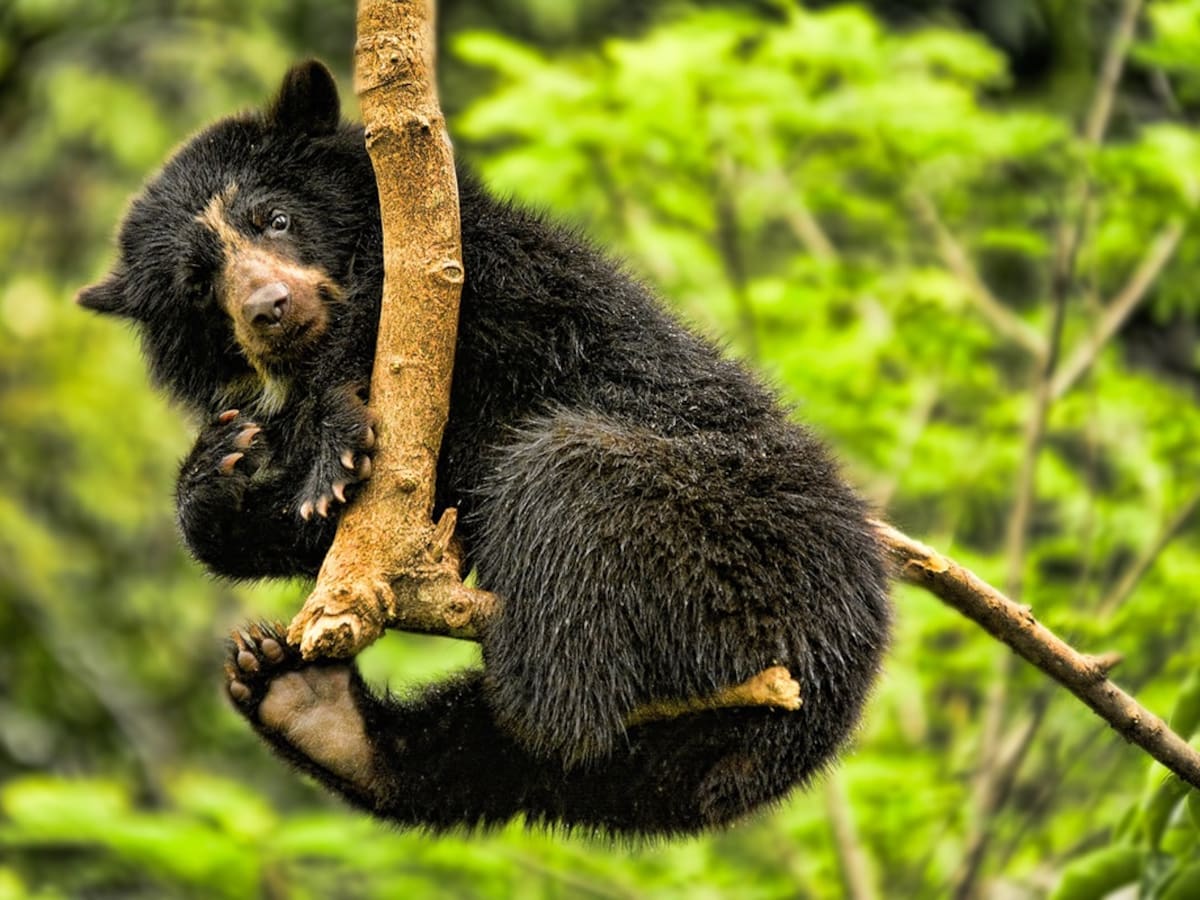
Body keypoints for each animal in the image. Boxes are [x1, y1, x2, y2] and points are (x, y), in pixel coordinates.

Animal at [77, 60, 892, 836]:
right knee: (521, 761)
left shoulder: (501, 276)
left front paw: (331, 435)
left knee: (568, 484)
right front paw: (227, 465)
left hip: (733, 537)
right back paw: (305, 703)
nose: (269, 309)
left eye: (274, 218)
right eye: (198, 283)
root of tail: (845, 672)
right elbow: (356, 533)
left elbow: (445, 313)